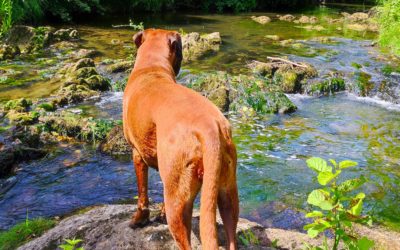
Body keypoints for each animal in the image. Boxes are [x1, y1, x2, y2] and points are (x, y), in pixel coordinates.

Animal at [122, 28, 238, 249]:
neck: (152, 68)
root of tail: (209, 127)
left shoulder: (137, 154)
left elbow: (142, 195)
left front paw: (139, 219)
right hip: (227, 194)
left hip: (178, 203)